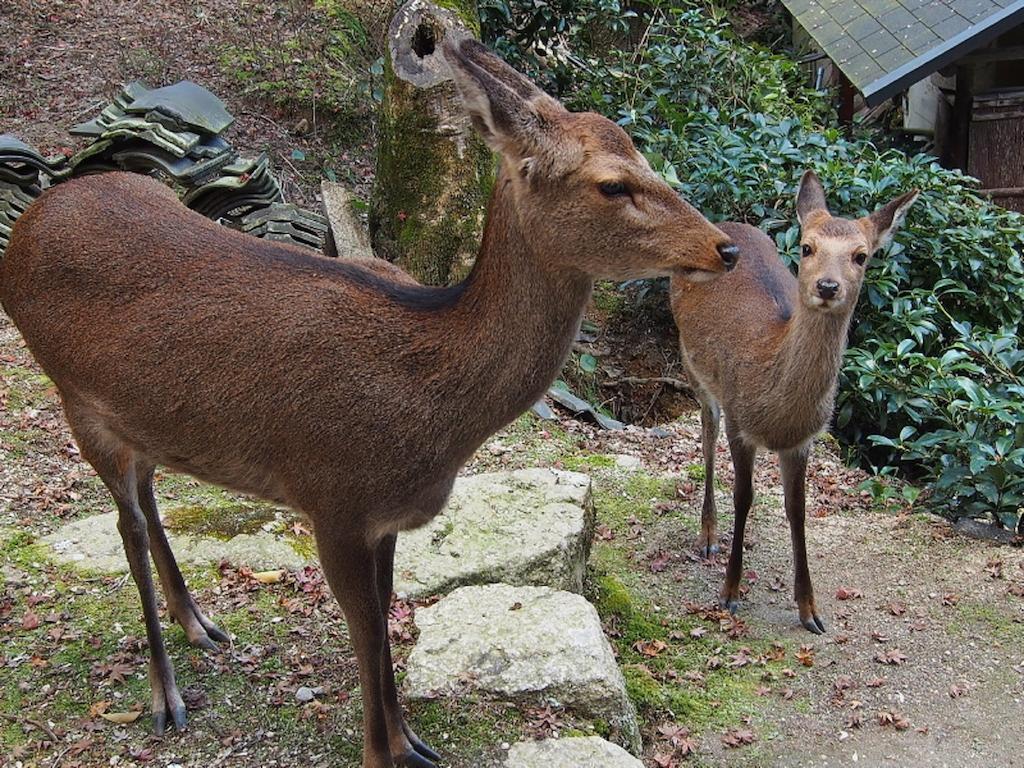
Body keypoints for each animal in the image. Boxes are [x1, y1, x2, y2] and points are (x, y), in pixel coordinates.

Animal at [0, 40, 737, 768]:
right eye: (613, 183)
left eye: (643, 156)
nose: (725, 246)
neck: (433, 413)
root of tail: (31, 220)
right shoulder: (335, 503)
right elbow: (365, 633)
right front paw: (385, 749)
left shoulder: (385, 519)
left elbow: (384, 622)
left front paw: (414, 740)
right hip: (74, 397)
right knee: (124, 521)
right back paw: (167, 695)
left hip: (142, 418)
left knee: (148, 492)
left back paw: (200, 622)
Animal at [671, 174, 921, 638]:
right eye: (807, 247)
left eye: (861, 255)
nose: (827, 286)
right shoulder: (741, 420)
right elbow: (744, 496)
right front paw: (730, 593)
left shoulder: (803, 440)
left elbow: (798, 510)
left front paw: (810, 609)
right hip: (692, 364)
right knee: (707, 433)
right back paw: (708, 537)